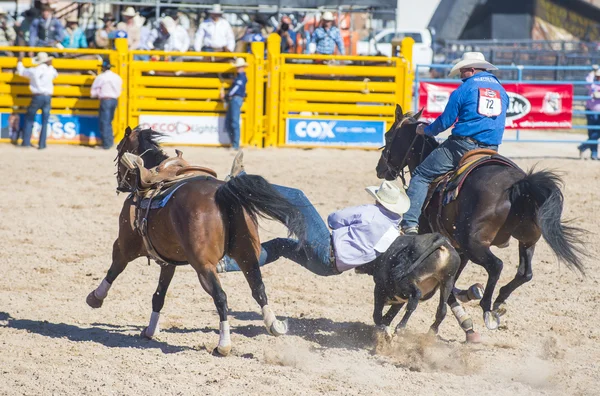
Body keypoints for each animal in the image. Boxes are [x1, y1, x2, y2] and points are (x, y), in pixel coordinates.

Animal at [86, 127, 308, 356]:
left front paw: (95, 297)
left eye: (119, 149)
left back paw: (224, 345)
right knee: (259, 289)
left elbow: (114, 269)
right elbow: (159, 295)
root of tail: (223, 193)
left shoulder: (125, 244)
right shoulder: (167, 261)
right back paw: (274, 325)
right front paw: (150, 330)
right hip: (247, 256)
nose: (119, 184)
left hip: (204, 266)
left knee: (221, 297)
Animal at [376, 105, 584, 334]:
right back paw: (499, 301)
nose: (380, 169)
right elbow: (451, 281)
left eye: (389, 135)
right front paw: (465, 304)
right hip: (526, 239)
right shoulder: (457, 247)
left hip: (473, 242)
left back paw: (487, 309)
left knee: (497, 266)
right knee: (524, 273)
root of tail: (519, 185)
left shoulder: (435, 236)